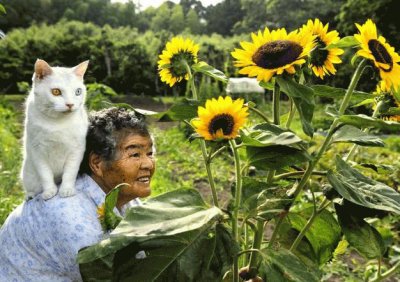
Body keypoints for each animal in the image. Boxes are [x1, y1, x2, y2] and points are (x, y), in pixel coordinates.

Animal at [21, 59, 89, 200]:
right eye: (56, 92)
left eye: (78, 92)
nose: (70, 104)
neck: (57, 123)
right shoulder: (37, 151)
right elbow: (45, 174)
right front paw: (49, 192)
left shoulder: (77, 150)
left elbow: (70, 173)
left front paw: (66, 190)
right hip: (28, 176)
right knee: (31, 189)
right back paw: (30, 195)